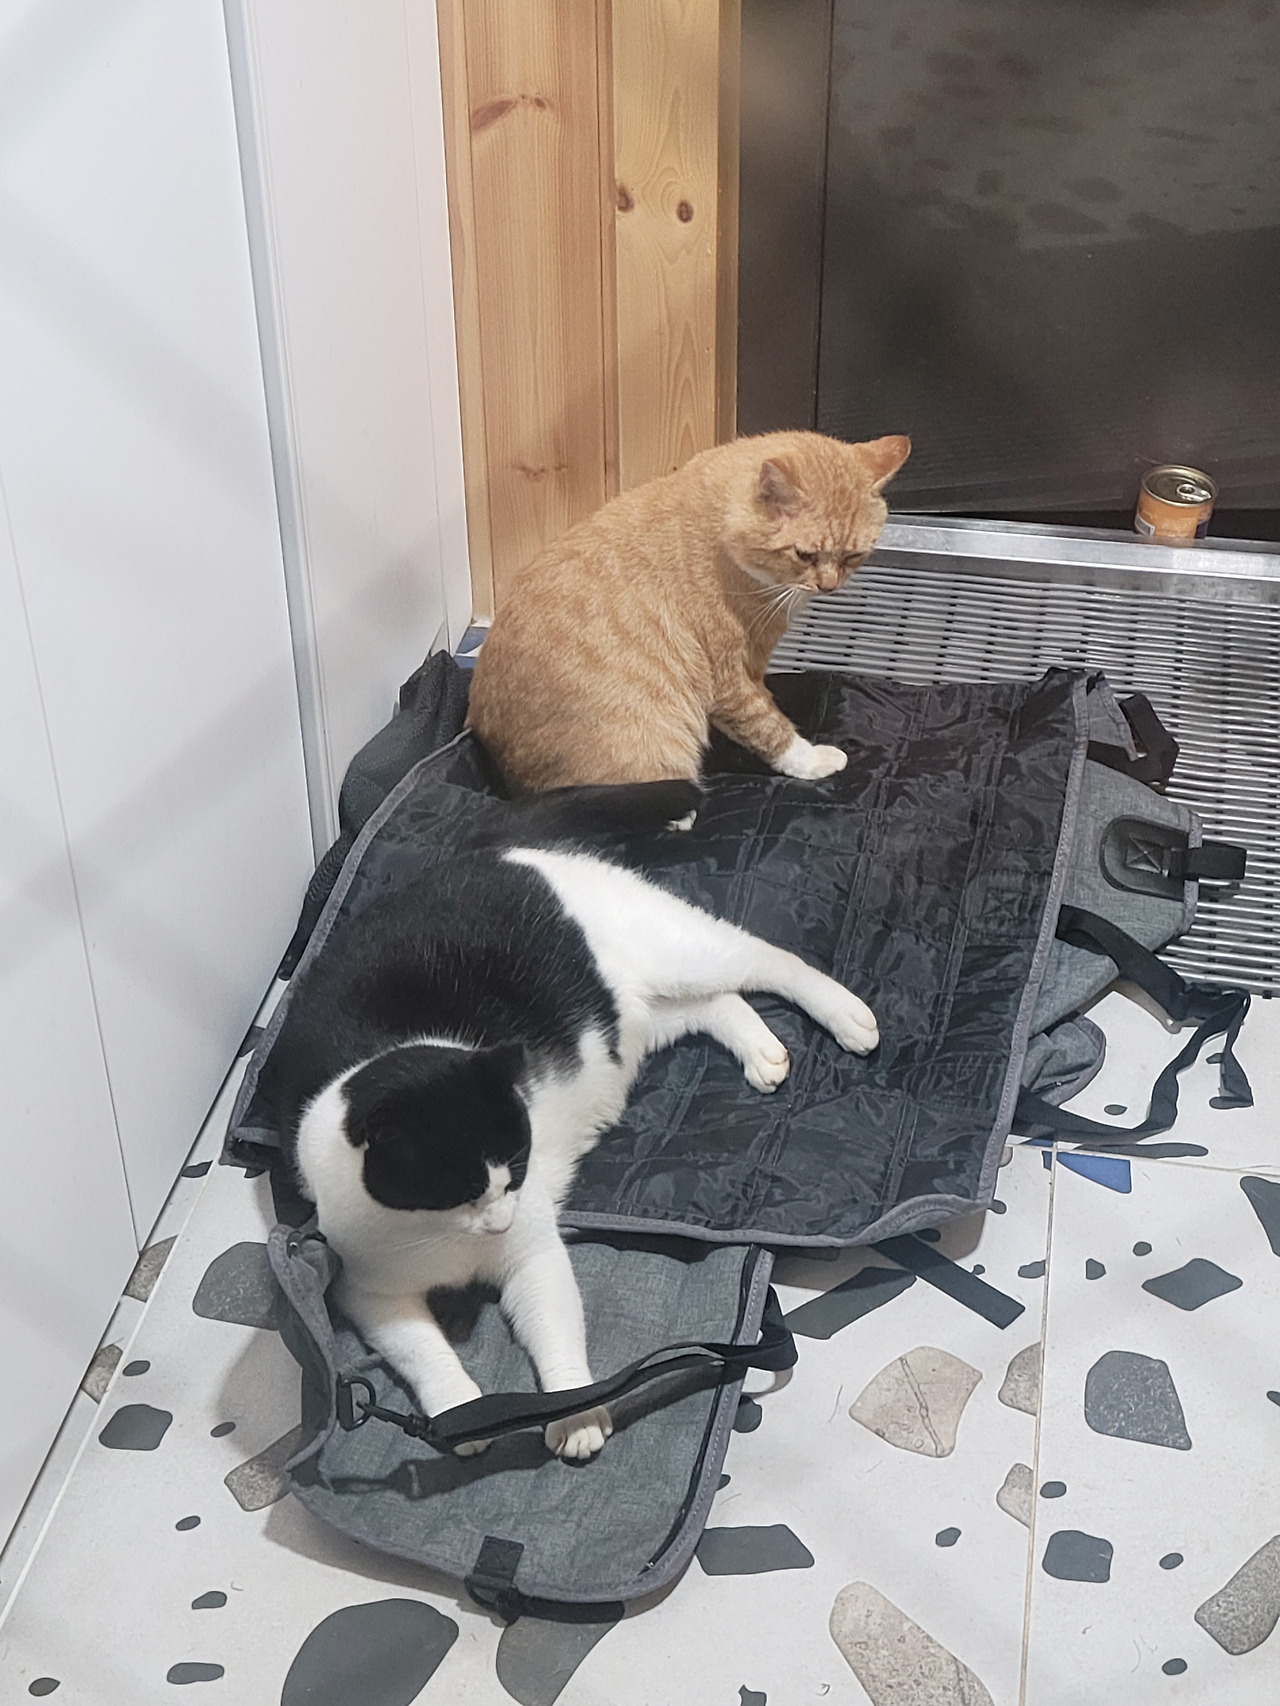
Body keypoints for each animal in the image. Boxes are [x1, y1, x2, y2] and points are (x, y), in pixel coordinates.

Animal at [263, 781, 878, 1461]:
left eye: (516, 1170)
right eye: (462, 1189)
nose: (500, 1221)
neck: (444, 1238)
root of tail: (485, 851)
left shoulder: (533, 1254)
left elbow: (554, 1332)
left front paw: (574, 1412)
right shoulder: (370, 1290)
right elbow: (424, 1352)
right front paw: (463, 1412)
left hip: (674, 951)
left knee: (765, 959)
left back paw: (848, 1016)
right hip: (631, 1019)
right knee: (717, 1003)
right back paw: (763, 1052)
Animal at [467, 430, 910, 792]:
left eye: (852, 556)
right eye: (804, 554)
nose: (829, 586)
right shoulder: (729, 679)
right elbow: (769, 726)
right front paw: (813, 759)